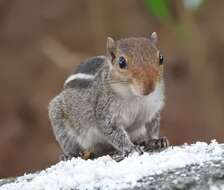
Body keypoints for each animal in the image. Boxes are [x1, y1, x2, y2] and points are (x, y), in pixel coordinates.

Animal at [48, 32, 169, 160]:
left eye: (161, 58)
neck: (135, 97)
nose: (149, 87)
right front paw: (130, 148)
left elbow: (152, 127)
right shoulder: (105, 111)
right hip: (59, 120)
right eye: (121, 62)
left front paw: (156, 140)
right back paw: (69, 155)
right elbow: (113, 131)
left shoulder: (152, 110)